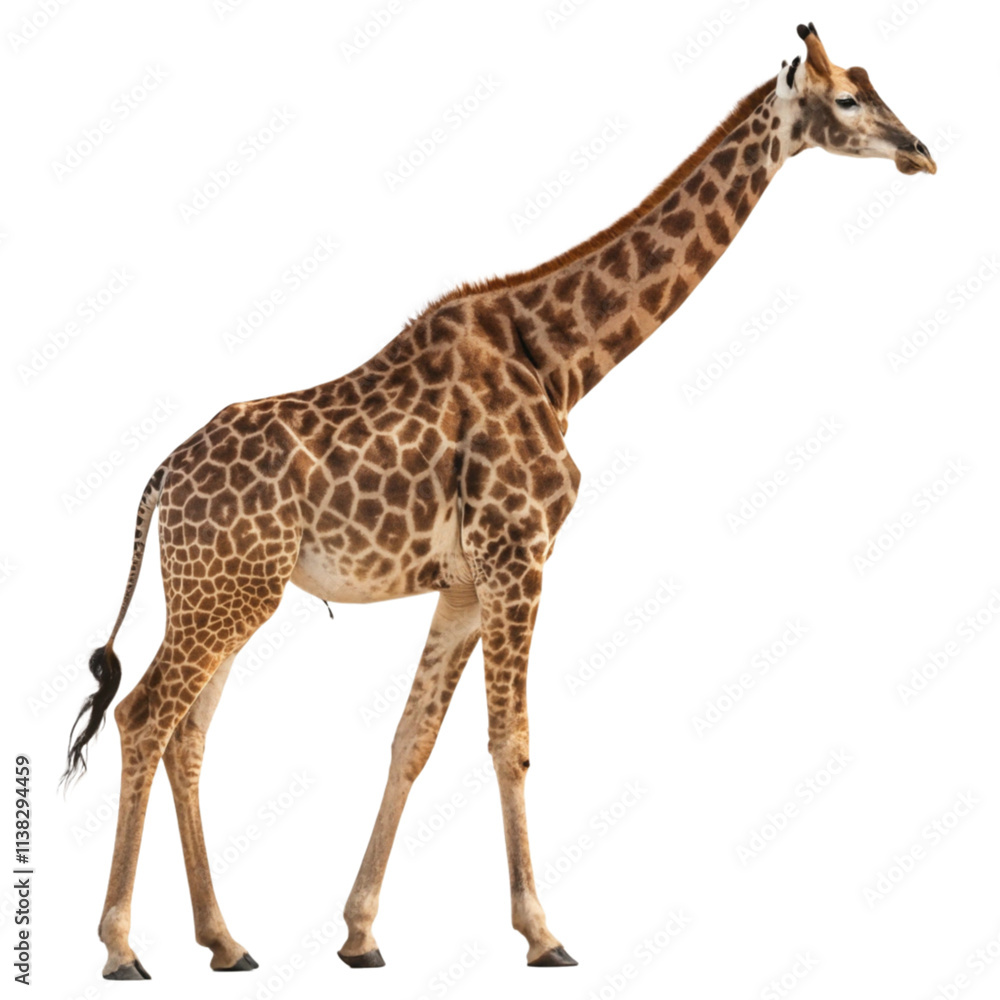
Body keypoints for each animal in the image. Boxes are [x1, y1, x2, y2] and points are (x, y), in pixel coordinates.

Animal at [62, 23, 935, 979]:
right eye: (846, 99)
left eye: (873, 86)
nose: (921, 151)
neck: (562, 362)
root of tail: (159, 482)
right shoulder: (519, 557)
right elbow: (509, 743)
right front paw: (543, 933)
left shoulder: (464, 582)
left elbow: (413, 740)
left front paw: (361, 933)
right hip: (227, 590)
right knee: (145, 716)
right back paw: (120, 947)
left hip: (223, 592)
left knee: (187, 733)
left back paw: (225, 940)